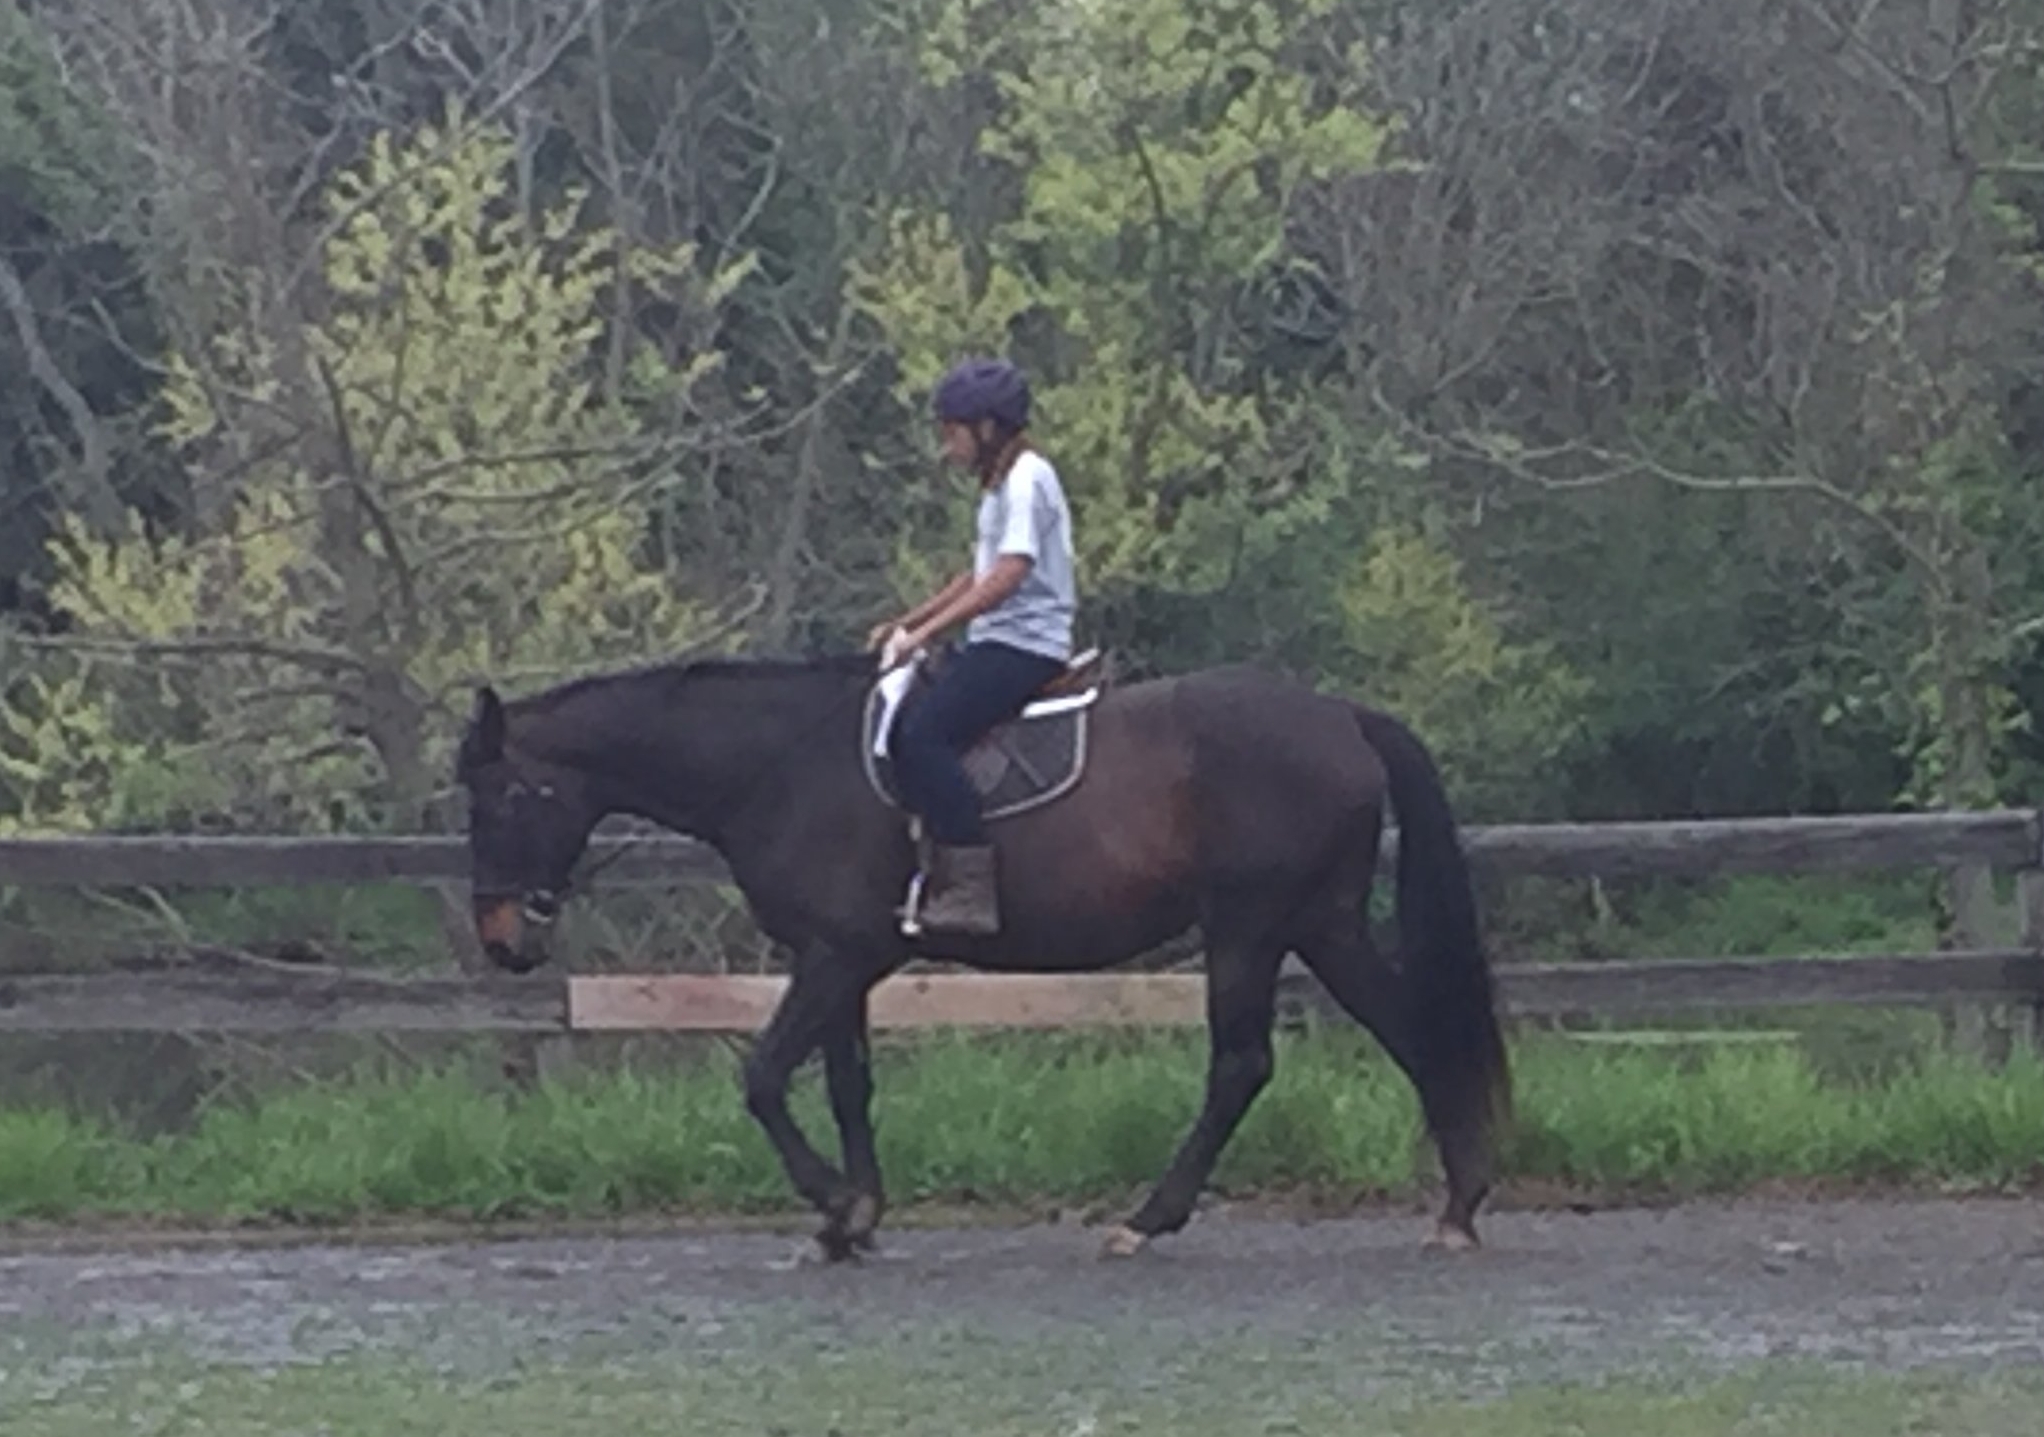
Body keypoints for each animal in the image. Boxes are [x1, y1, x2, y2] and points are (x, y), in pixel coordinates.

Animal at [455, 651, 1512, 1262]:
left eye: (501, 795)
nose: (503, 939)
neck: (782, 763)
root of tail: (1342, 715)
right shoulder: (843, 960)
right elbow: (846, 1084)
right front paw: (857, 1218)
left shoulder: (835, 953)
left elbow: (761, 1078)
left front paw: (831, 1205)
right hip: (1318, 922)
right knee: (1410, 1030)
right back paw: (1459, 1202)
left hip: (1250, 926)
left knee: (1242, 1064)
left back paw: (1148, 1217)